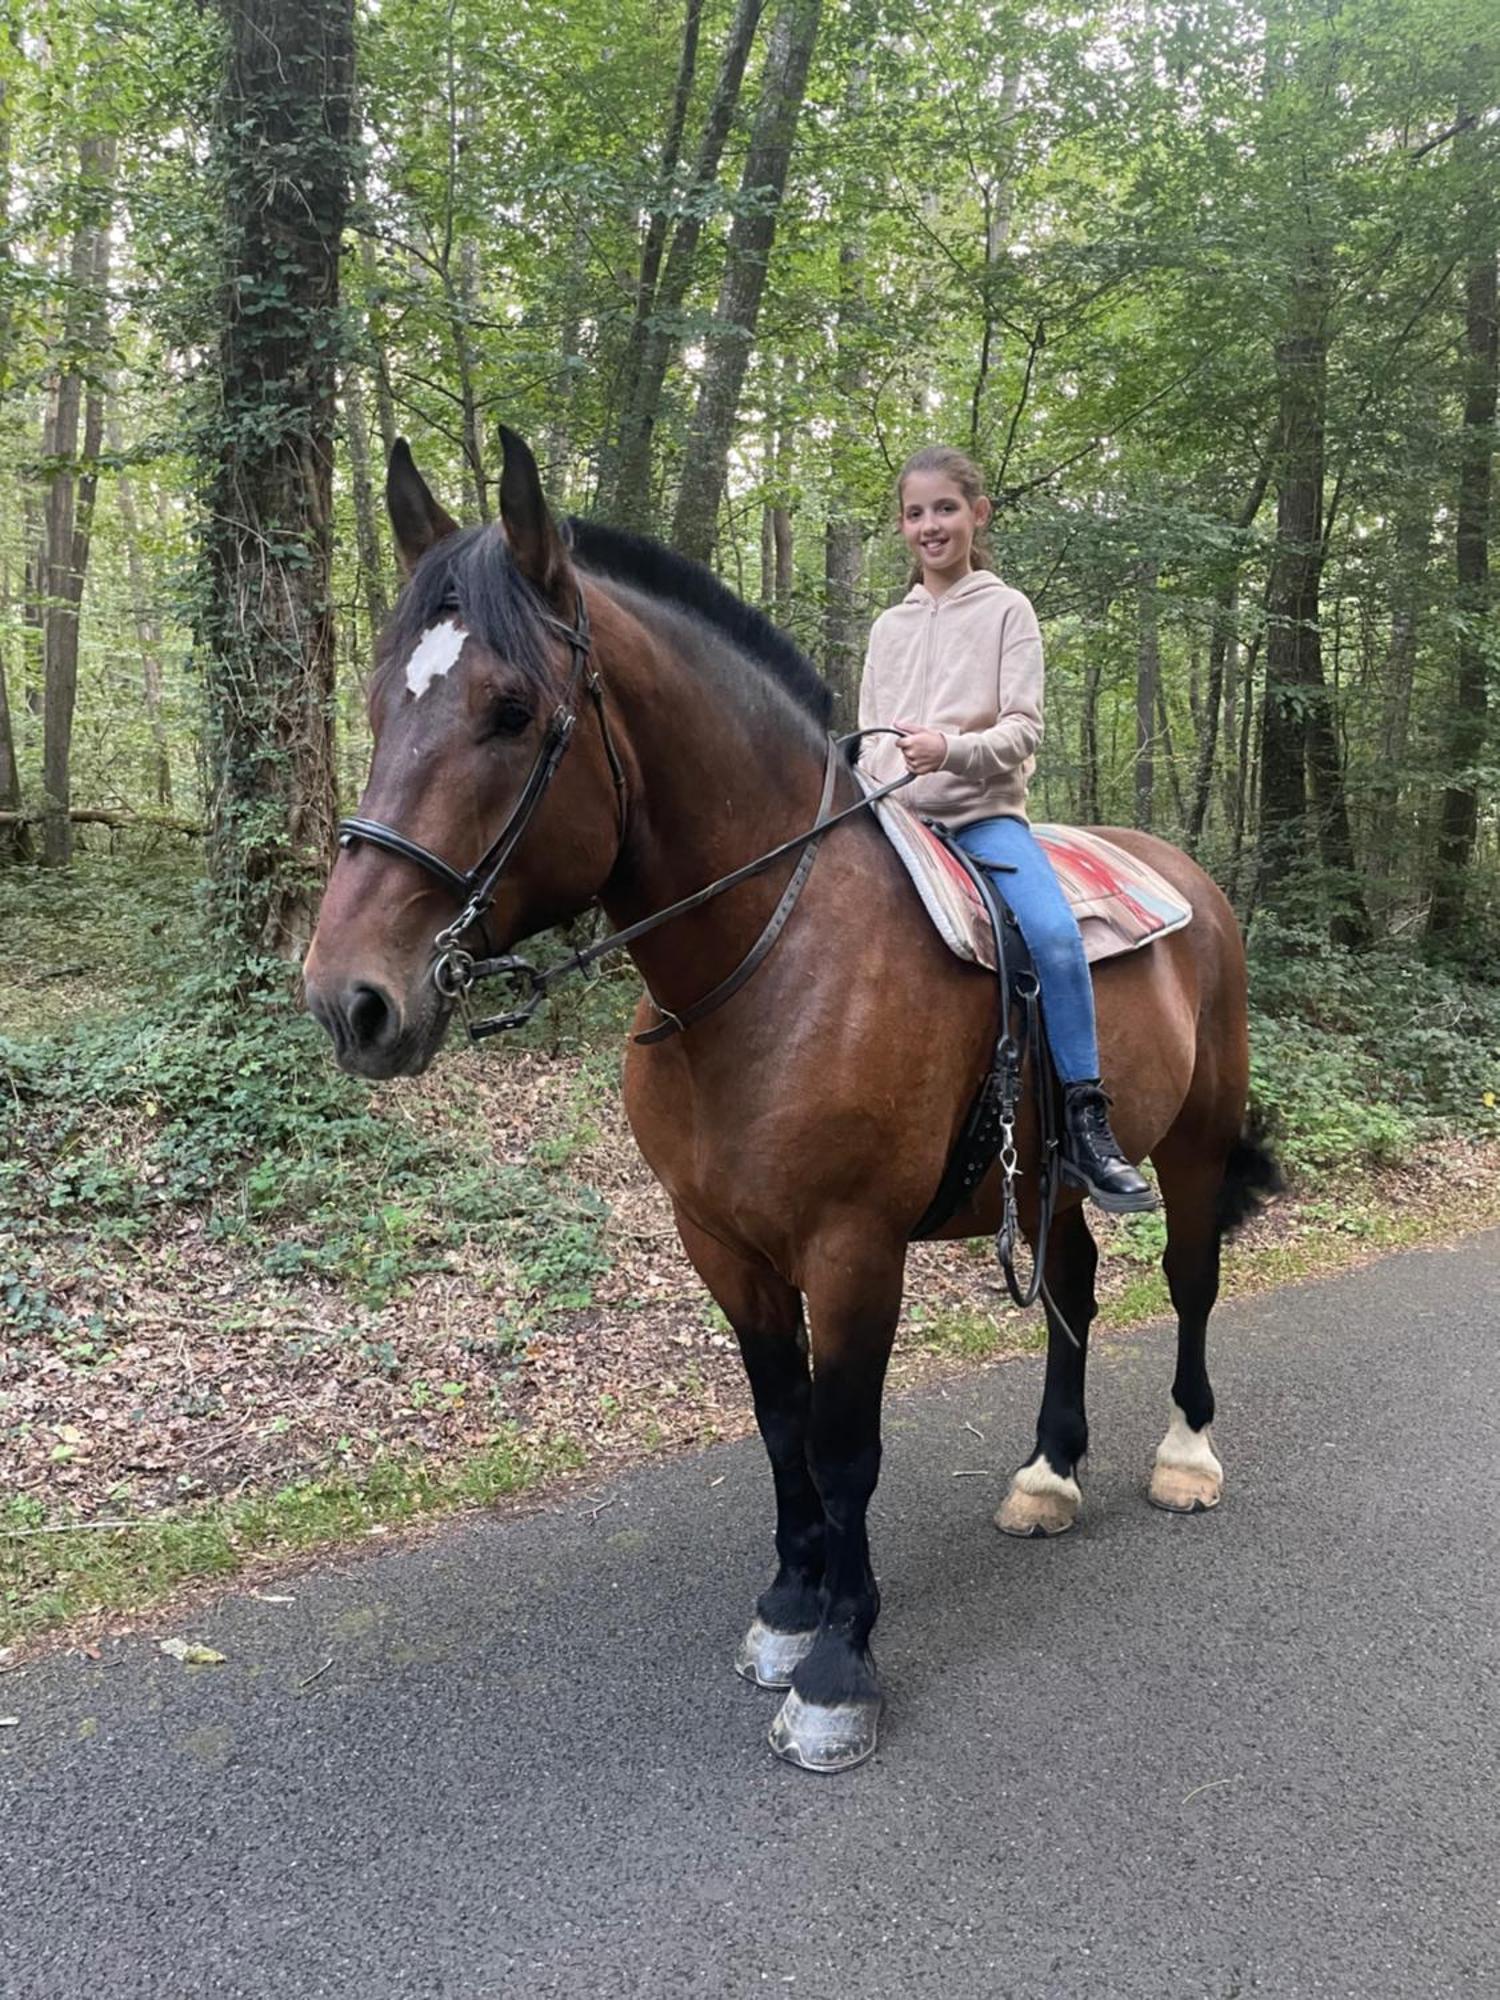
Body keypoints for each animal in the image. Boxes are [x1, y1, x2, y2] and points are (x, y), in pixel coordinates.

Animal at [308, 430, 1280, 1776]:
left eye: (511, 712)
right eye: (378, 702)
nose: (350, 999)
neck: (766, 959)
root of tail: (1190, 879)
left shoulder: (852, 1244)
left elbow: (842, 1439)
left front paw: (837, 1666)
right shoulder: (721, 1240)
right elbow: (779, 1423)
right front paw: (791, 1603)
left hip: (1188, 1147)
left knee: (1190, 1282)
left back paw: (1185, 1454)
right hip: (1051, 1178)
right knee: (1074, 1290)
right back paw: (1046, 1474)